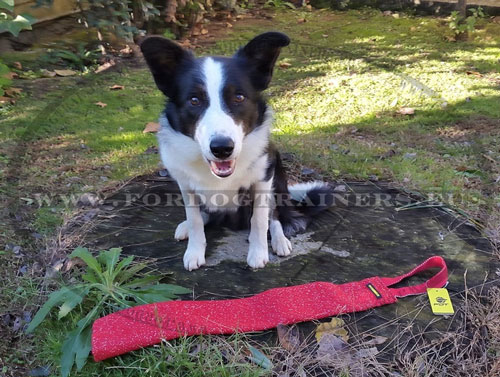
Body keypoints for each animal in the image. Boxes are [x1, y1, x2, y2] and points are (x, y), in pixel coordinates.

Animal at [141, 30, 334, 268]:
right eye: (194, 100)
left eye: (239, 97)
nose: (222, 148)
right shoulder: (186, 185)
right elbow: (195, 219)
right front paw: (194, 250)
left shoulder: (263, 180)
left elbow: (260, 220)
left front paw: (258, 253)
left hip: (278, 179)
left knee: (276, 216)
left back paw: (279, 240)